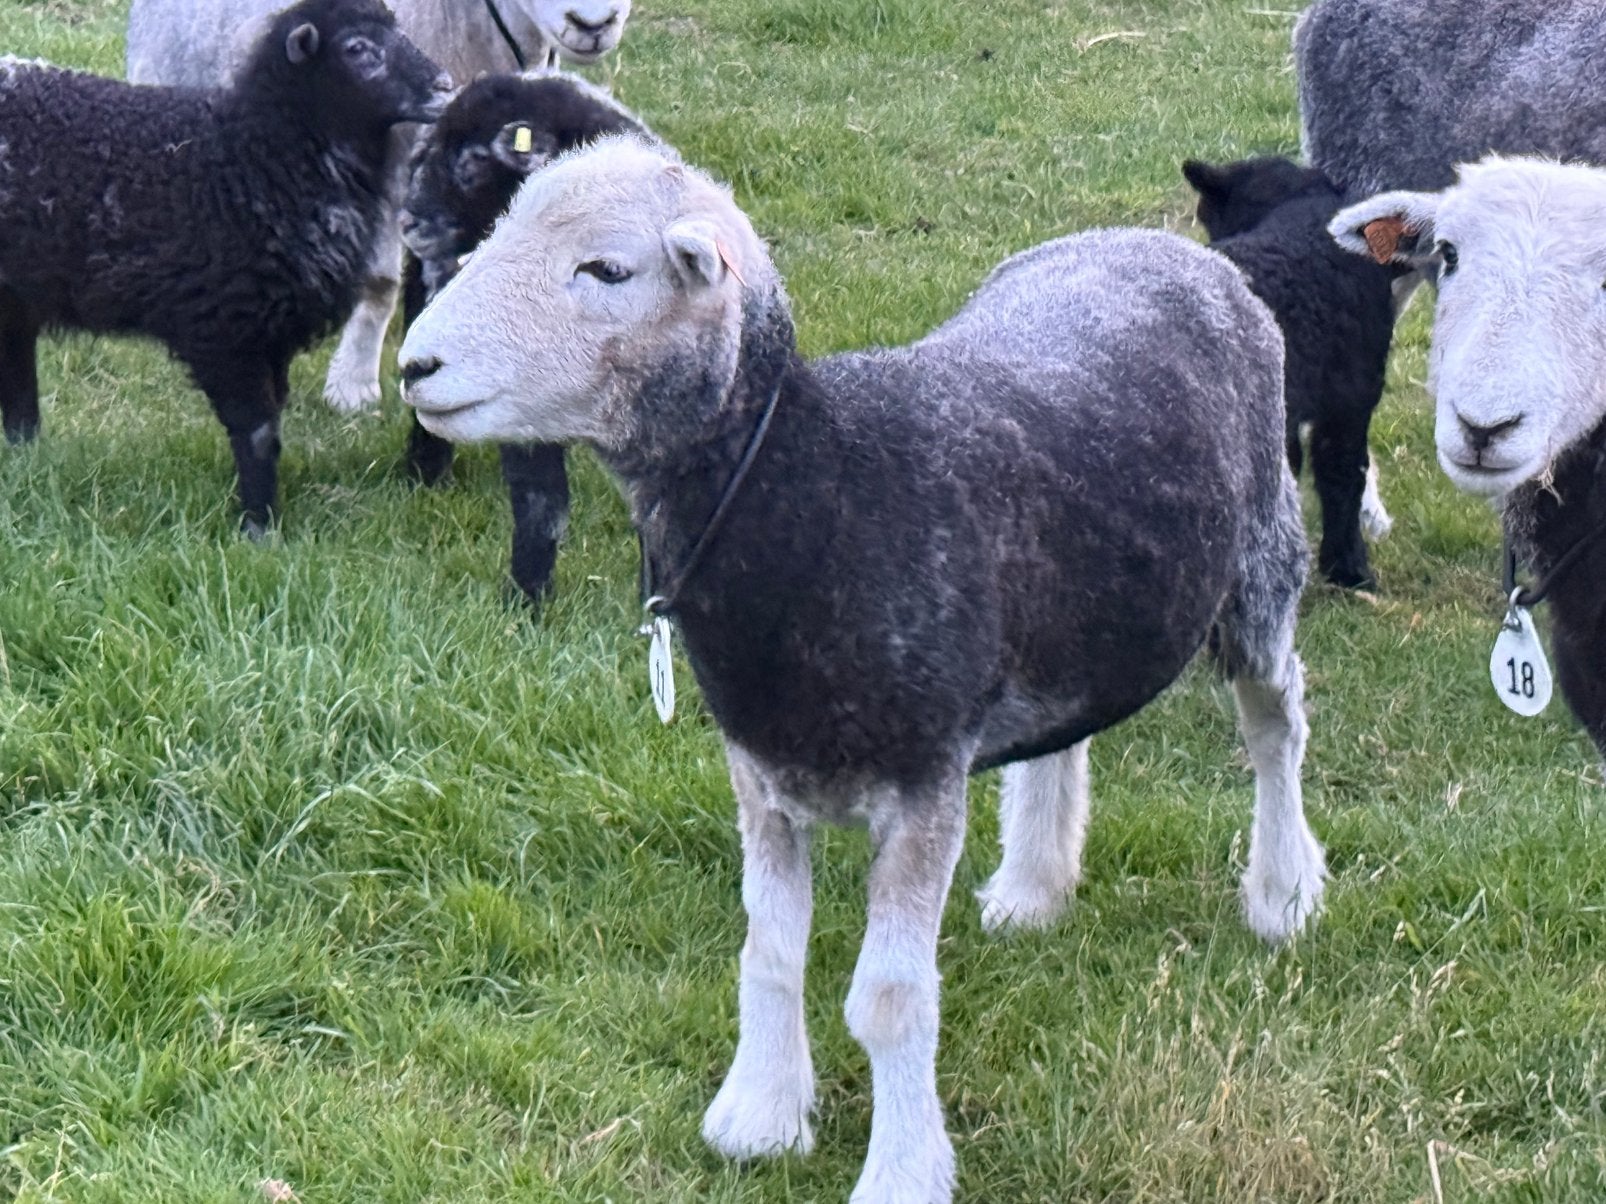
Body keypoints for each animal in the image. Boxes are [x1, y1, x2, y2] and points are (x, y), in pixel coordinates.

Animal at [0, 0, 452, 534]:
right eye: (357, 49)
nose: (445, 86)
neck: (252, 157)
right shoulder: (223, 327)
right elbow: (256, 430)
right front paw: (258, 526)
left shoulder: (271, 332)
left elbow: (272, 421)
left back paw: (26, 455)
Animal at [398, 138, 1328, 1202]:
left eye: (607, 269)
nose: (415, 364)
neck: (816, 484)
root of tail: (1168, 248)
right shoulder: (762, 773)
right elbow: (769, 952)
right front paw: (759, 1116)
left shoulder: (924, 783)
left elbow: (886, 999)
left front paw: (902, 1169)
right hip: (1077, 605)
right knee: (1071, 732)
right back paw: (1036, 887)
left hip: (1261, 560)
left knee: (1277, 724)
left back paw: (1284, 893)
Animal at [399, 70, 651, 601]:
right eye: (426, 154)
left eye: (473, 163)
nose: (409, 220)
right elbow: (542, 503)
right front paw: (528, 597)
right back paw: (426, 474)